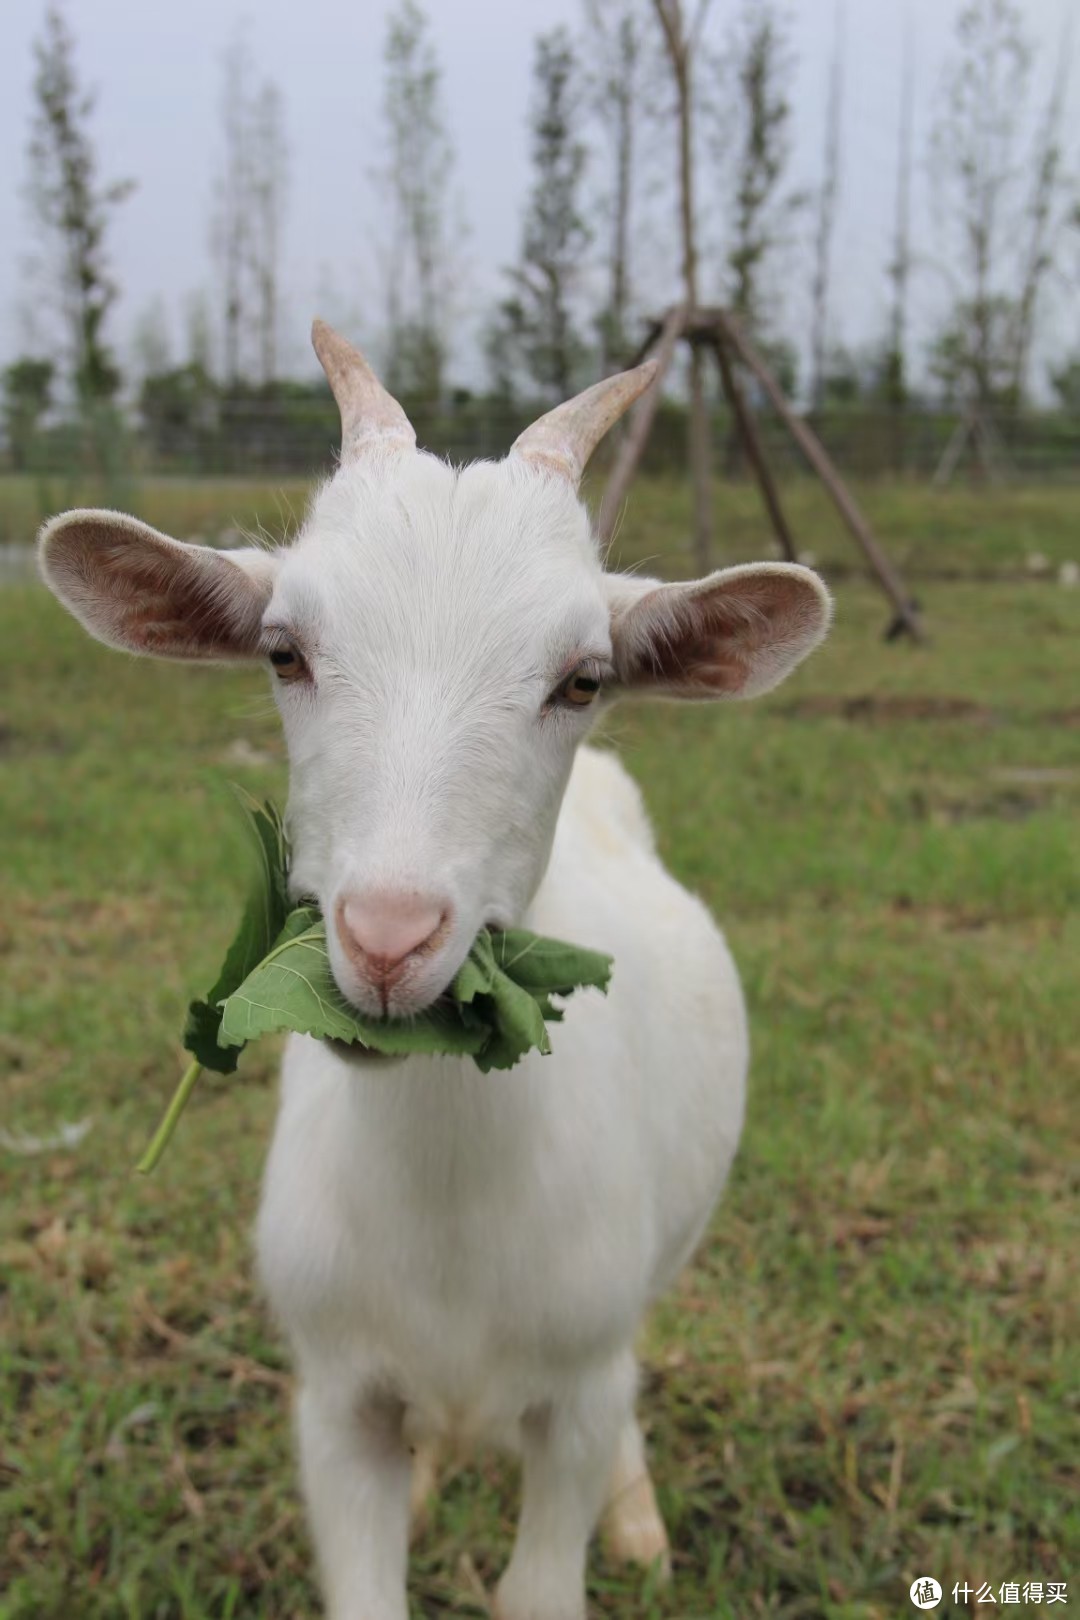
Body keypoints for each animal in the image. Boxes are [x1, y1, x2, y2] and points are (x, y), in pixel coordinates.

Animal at [38, 322, 835, 1620]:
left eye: (583, 678)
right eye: (282, 652)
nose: (387, 939)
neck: (446, 1205)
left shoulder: (575, 1389)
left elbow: (542, 1581)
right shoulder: (334, 1400)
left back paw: (639, 1522)